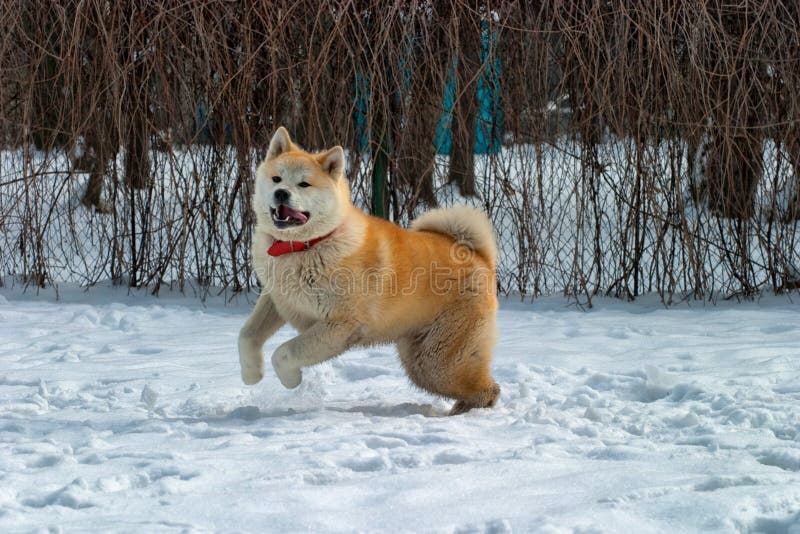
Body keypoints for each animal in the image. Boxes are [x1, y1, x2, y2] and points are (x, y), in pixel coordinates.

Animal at [238, 127, 500, 416]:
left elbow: (284, 352)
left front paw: (291, 380)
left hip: (438, 360)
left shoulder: (341, 324)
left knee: (488, 390)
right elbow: (247, 335)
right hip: (421, 358)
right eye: (276, 178)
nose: (281, 193)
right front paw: (251, 374)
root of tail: (480, 257)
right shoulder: (277, 300)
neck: (305, 247)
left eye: (304, 184)